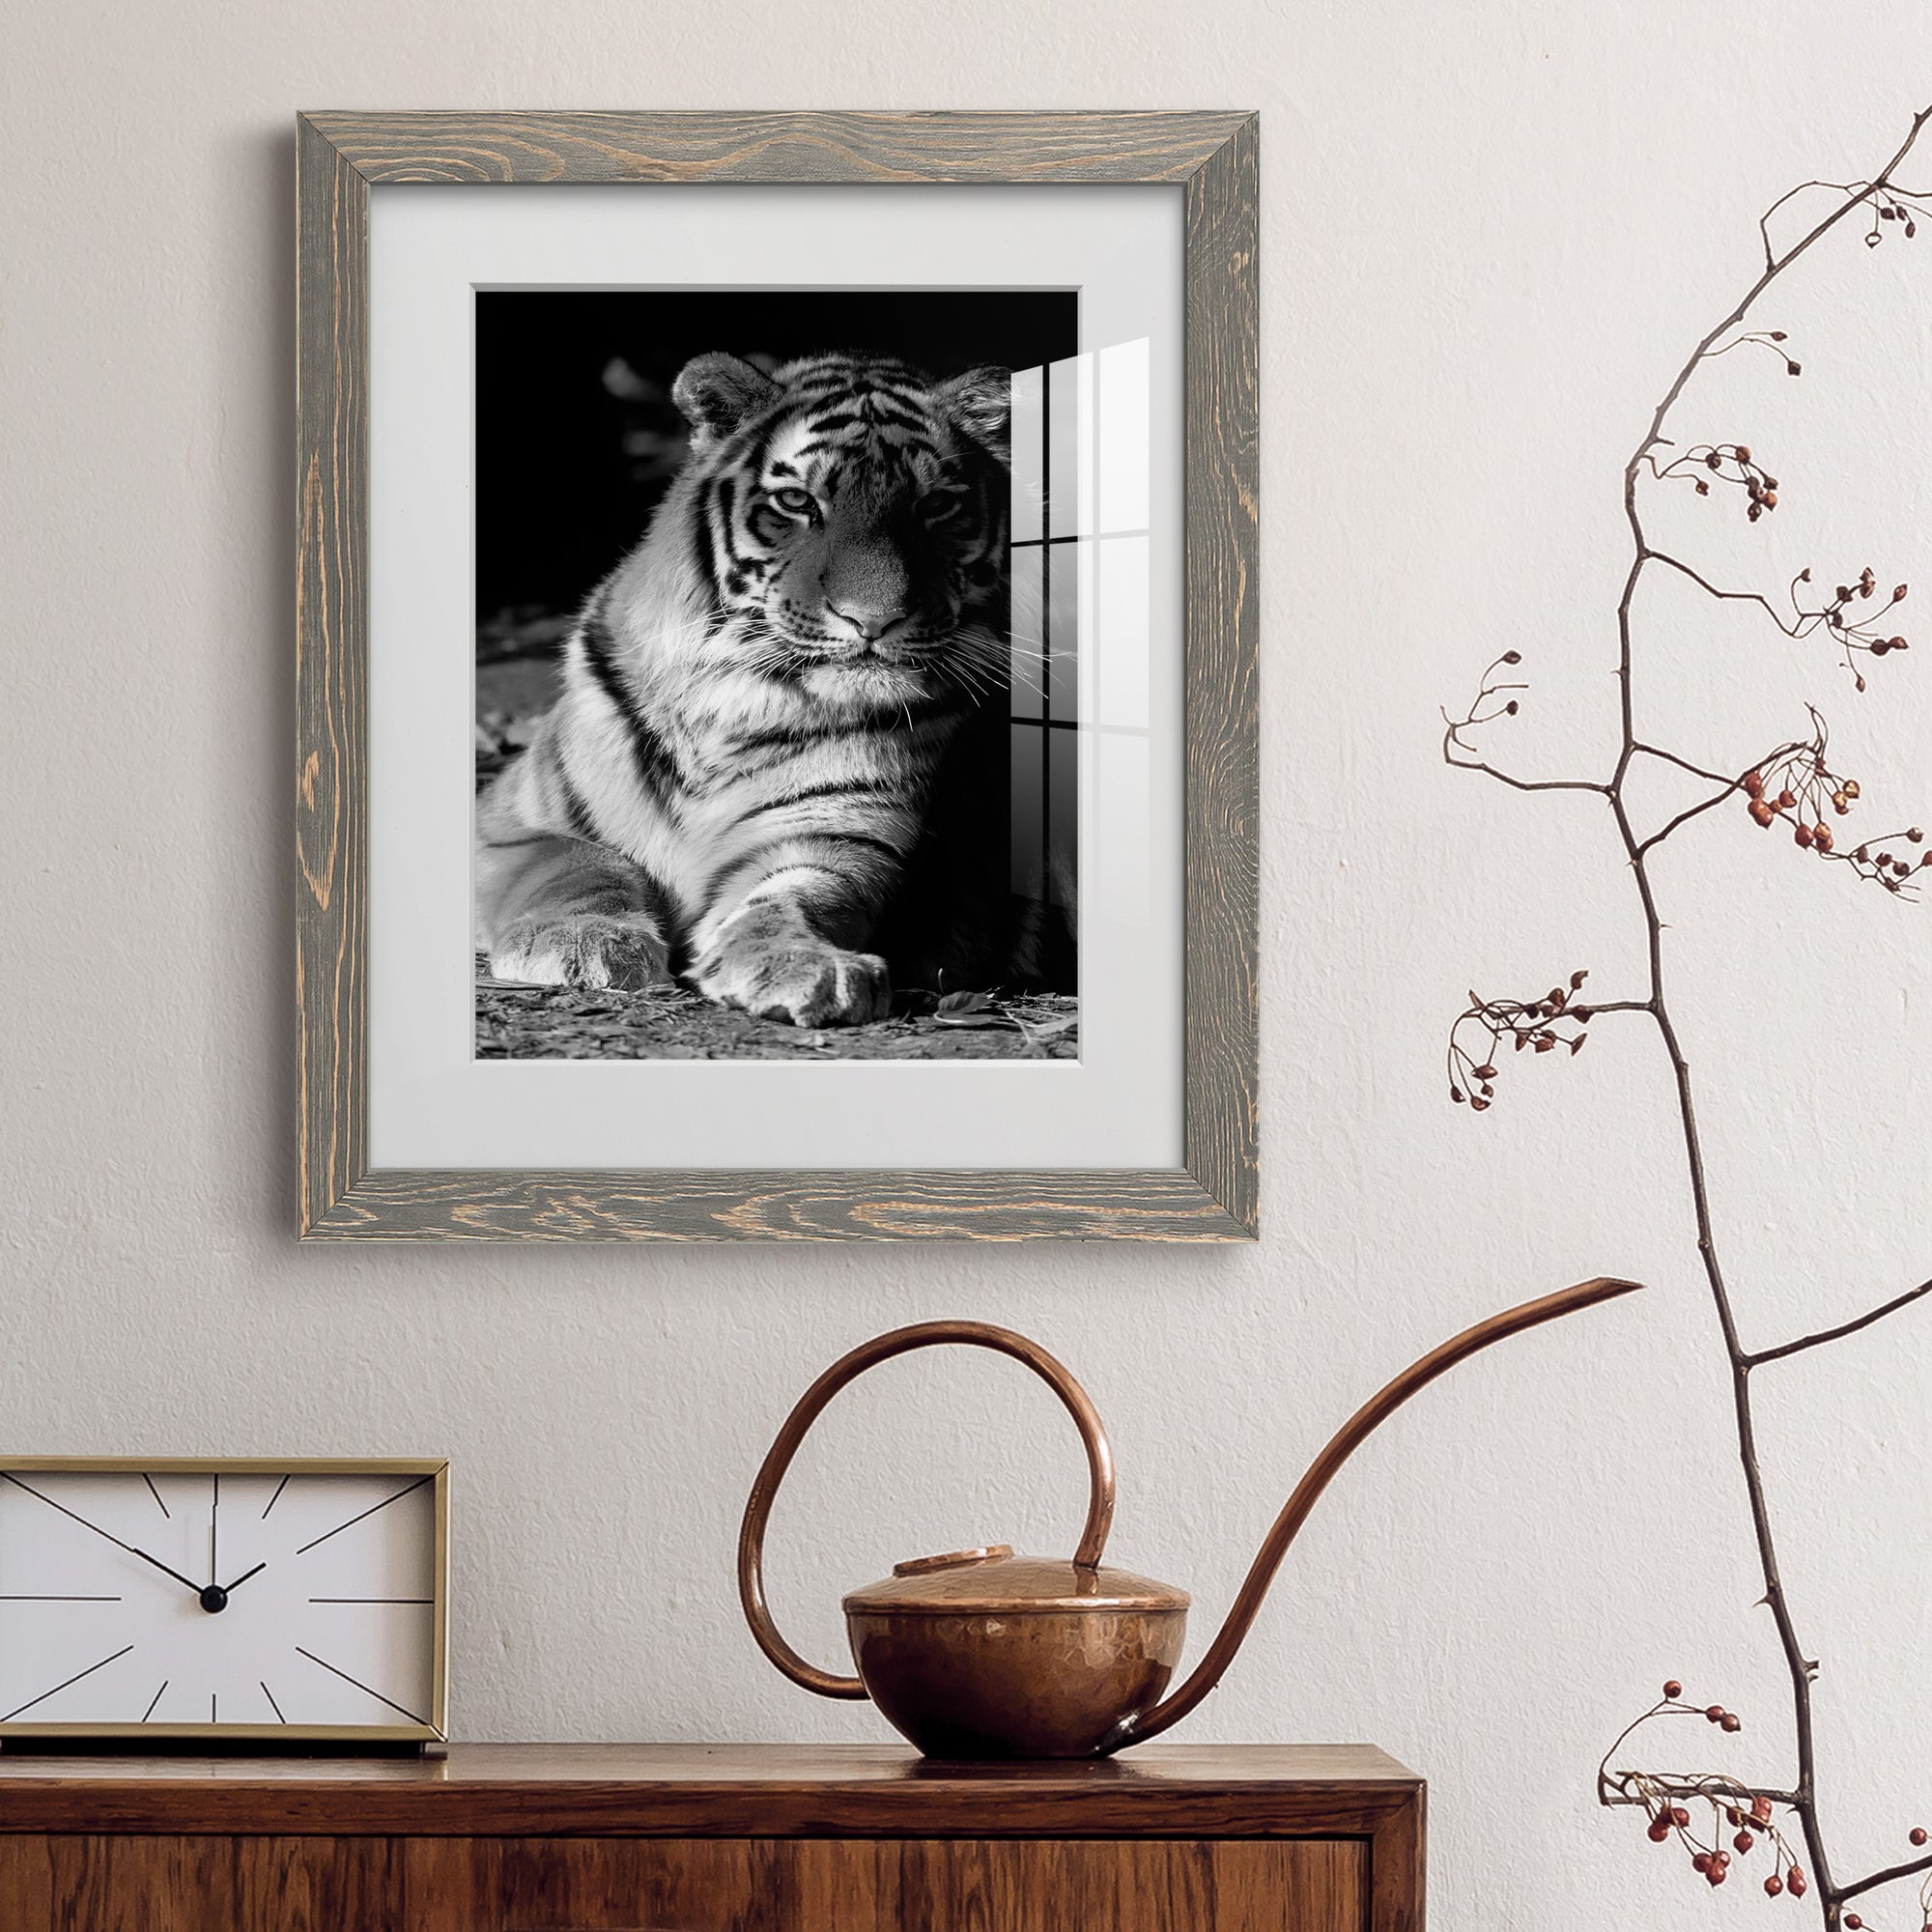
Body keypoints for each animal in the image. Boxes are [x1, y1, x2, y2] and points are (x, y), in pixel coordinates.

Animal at [476, 348, 1070, 1029]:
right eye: (796, 501)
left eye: (935, 506)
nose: (874, 620)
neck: (733, 702)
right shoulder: (509, 821)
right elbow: (578, 864)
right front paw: (585, 944)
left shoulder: (833, 837)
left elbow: (793, 899)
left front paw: (803, 965)